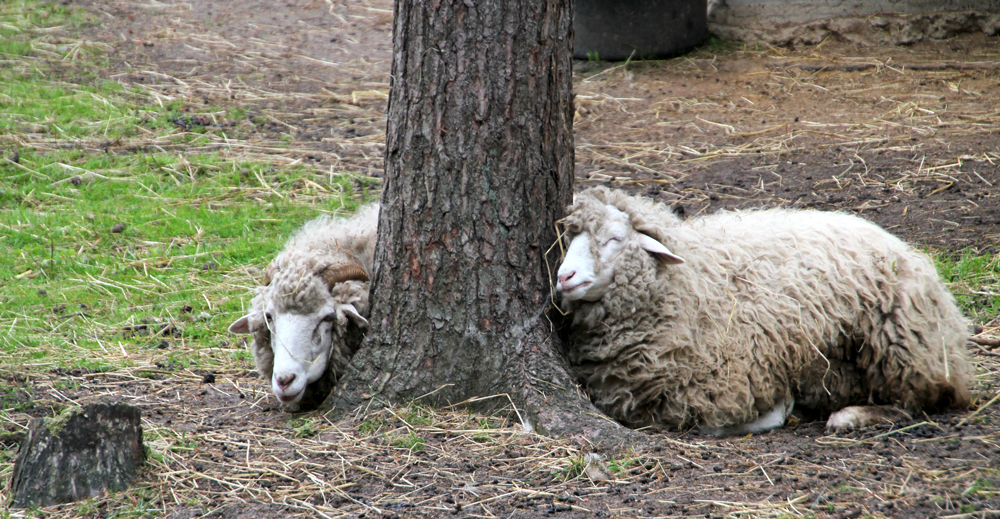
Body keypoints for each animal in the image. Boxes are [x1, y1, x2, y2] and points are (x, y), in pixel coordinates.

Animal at [556, 189, 968, 436]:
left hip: (898, 345)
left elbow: (721, 423)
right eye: (570, 239)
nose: (564, 276)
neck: (690, 277)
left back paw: (847, 417)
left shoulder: (728, 384)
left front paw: (780, 410)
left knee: (916, 402)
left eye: (615, 239)